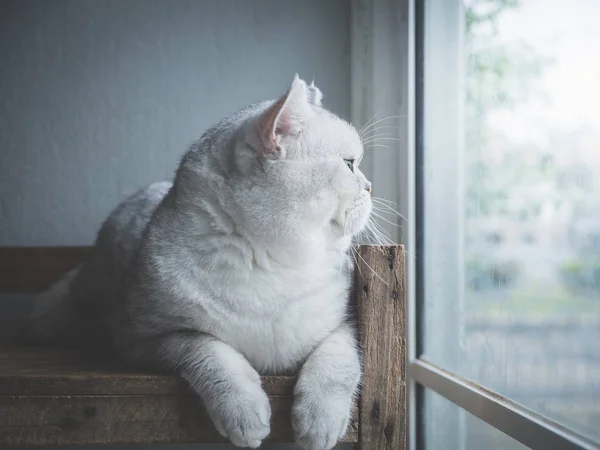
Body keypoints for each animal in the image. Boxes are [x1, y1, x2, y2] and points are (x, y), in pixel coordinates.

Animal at [29, 76, 376, 450]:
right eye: (349, 164)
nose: (371, 186)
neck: (275, 265)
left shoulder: (348, 323)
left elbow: (336, 363)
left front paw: (319, 423)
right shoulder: (146, 338)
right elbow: (211, 353)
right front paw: (245, 414)